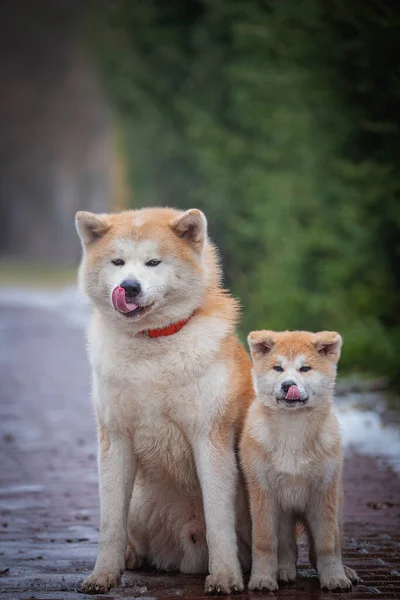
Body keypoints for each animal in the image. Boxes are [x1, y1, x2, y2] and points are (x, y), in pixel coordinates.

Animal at [241, 330, 360, 592]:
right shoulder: (263, 494)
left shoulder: (323, 494)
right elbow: (265, 543)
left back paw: (345, 571)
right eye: (278, 368)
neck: (292, 436)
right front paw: (262, 579)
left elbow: (327, 545)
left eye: (305, 368)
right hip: (285, 515)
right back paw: (283, 571)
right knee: (288, 549)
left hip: (336, 506)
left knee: (326, 546)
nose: (288, 385)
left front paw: (334, 577)